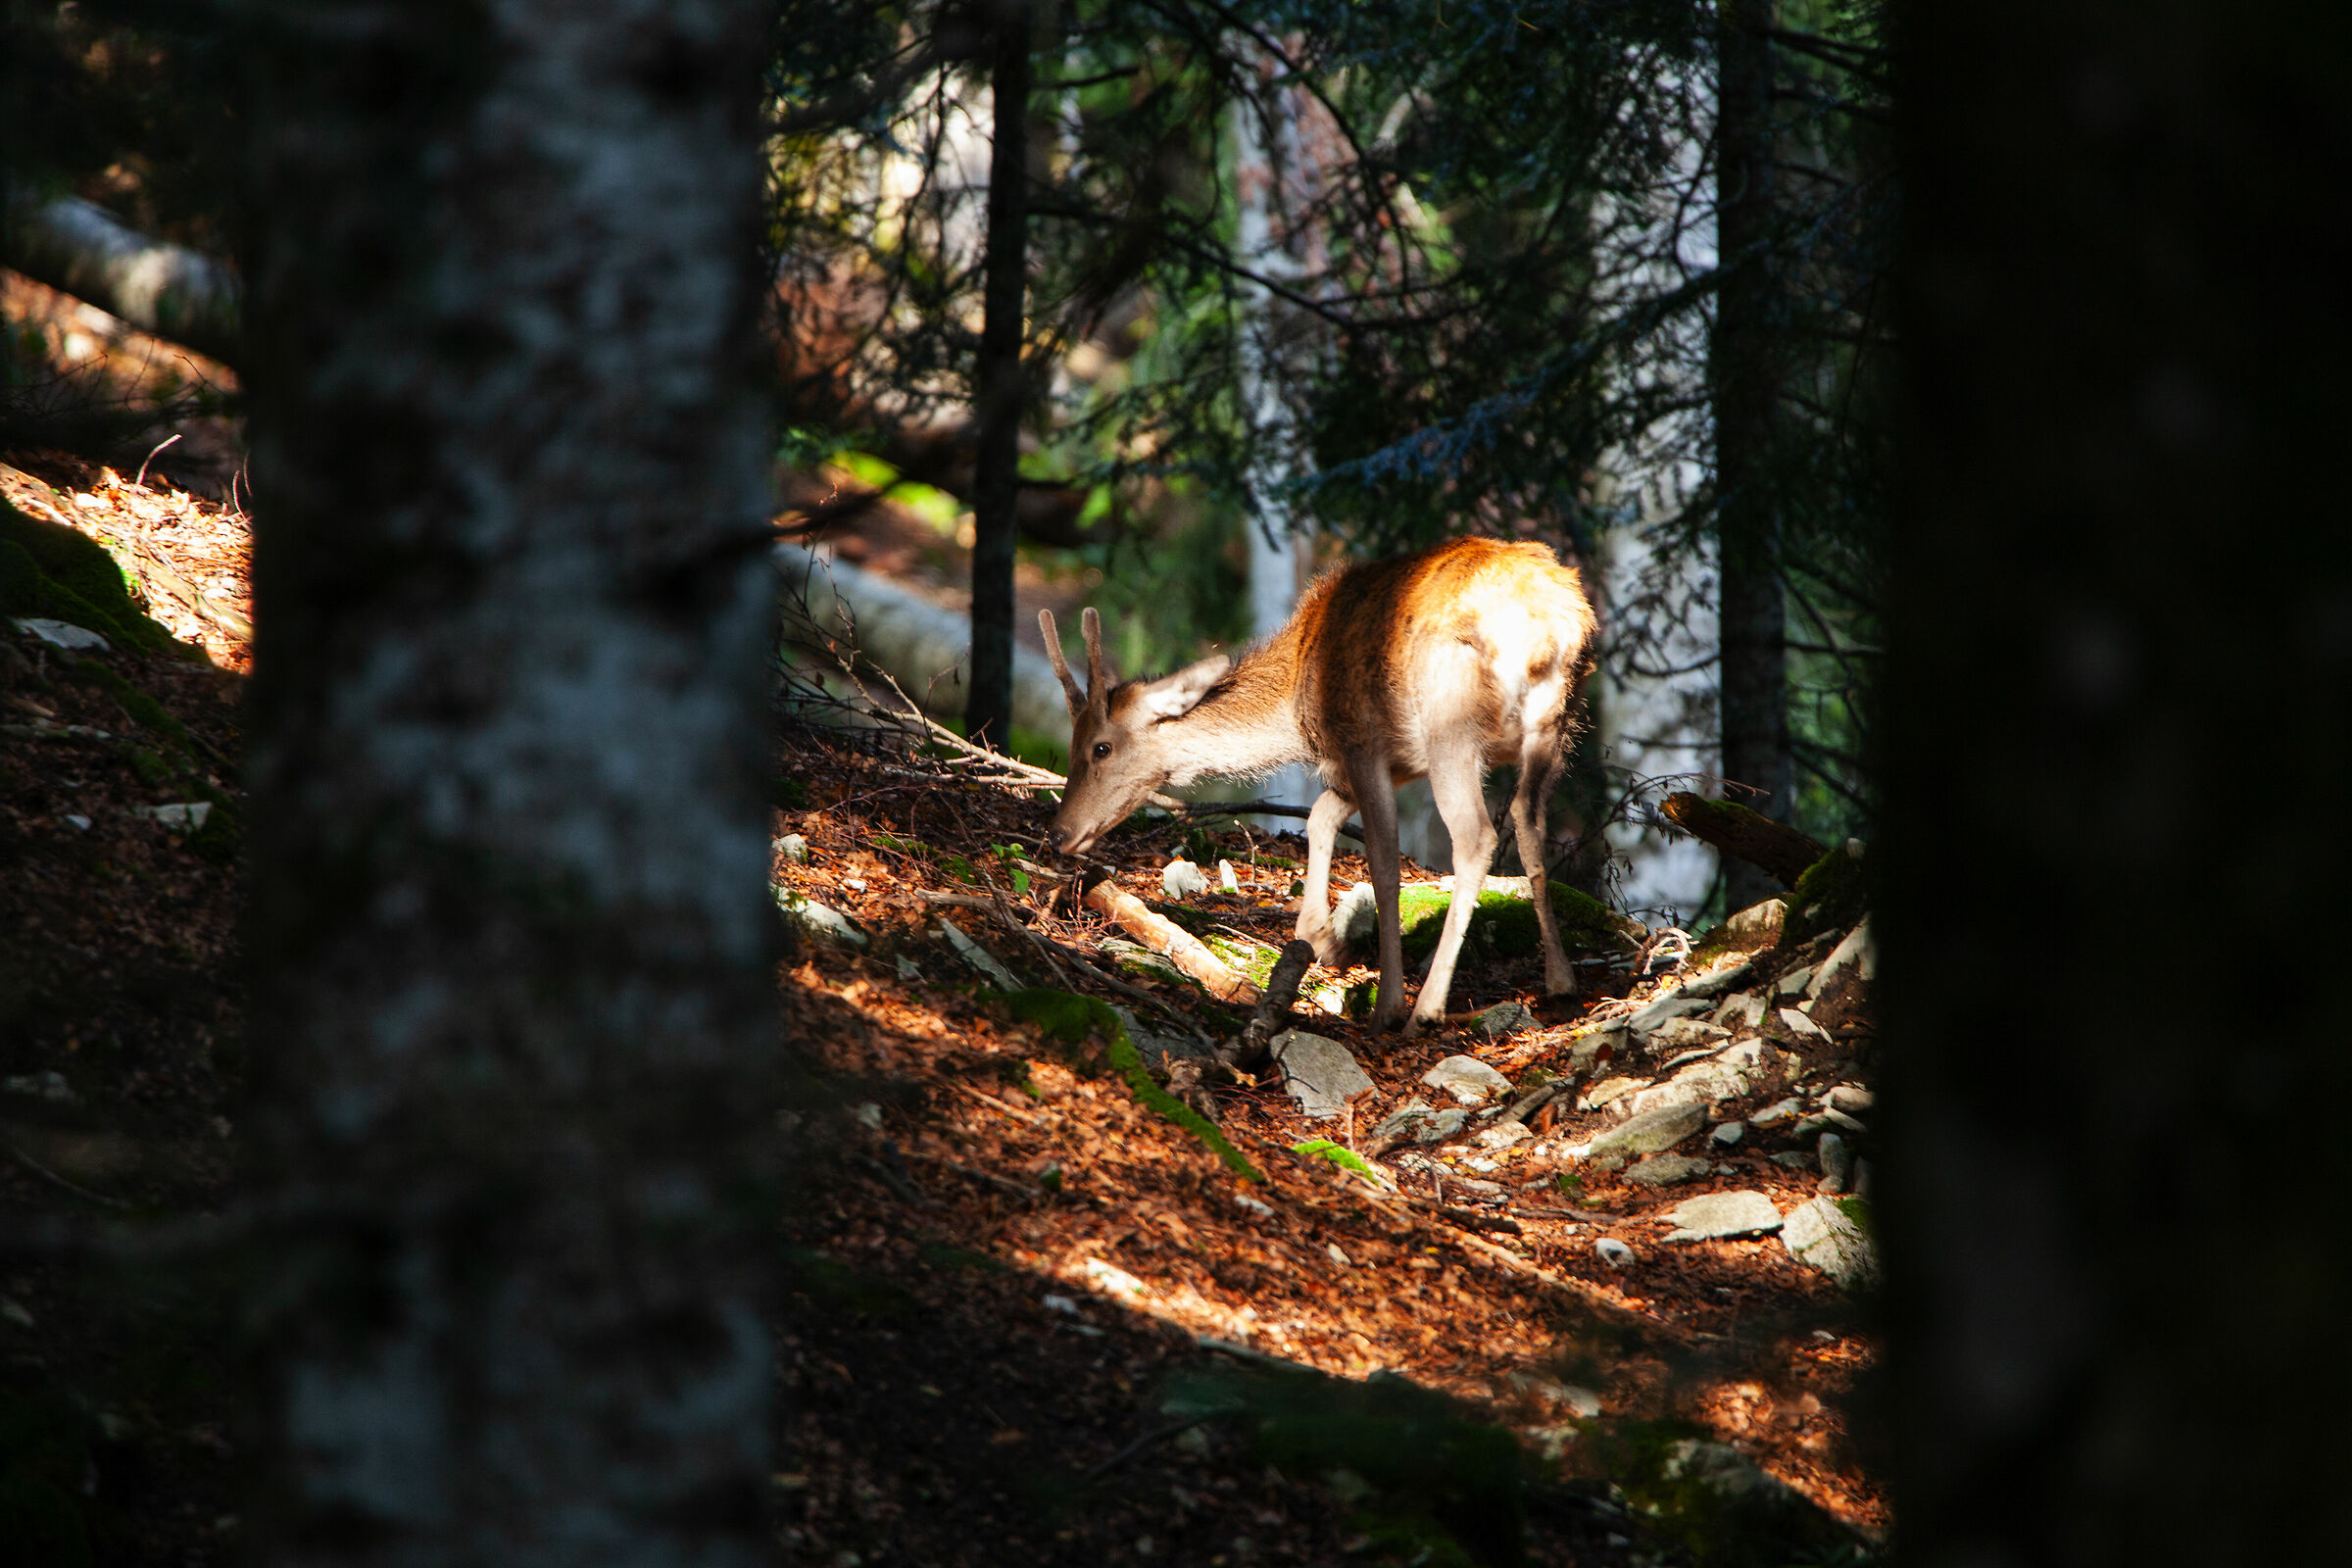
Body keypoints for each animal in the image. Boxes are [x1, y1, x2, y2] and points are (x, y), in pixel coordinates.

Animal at [1038, 536, 1598, 1038]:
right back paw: (1561, 983)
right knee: (1528, 821)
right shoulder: (1400, 759)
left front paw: (1385, 1002)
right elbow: (1321, 814)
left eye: (1101, 748)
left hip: (1452, 726)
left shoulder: (1361, 741)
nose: (1060, 833)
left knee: (1476, 837)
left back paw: (1424, 1009)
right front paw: (1322, 938)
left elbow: (1383, 862)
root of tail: (1550, 630)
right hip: (1557, 725)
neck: (1295, 704)